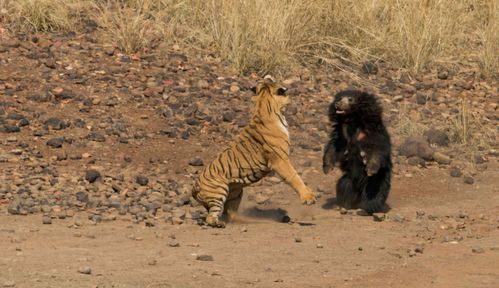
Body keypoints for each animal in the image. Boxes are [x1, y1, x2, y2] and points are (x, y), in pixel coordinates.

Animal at [191, 76, 316, 227]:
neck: (264, 105)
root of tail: (194, 187)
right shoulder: (280, 160)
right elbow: (294, 176)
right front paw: (308, 197)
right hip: (219, 192)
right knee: (211, 217)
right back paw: (219, 224)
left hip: (236, 193)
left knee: (230, 215)